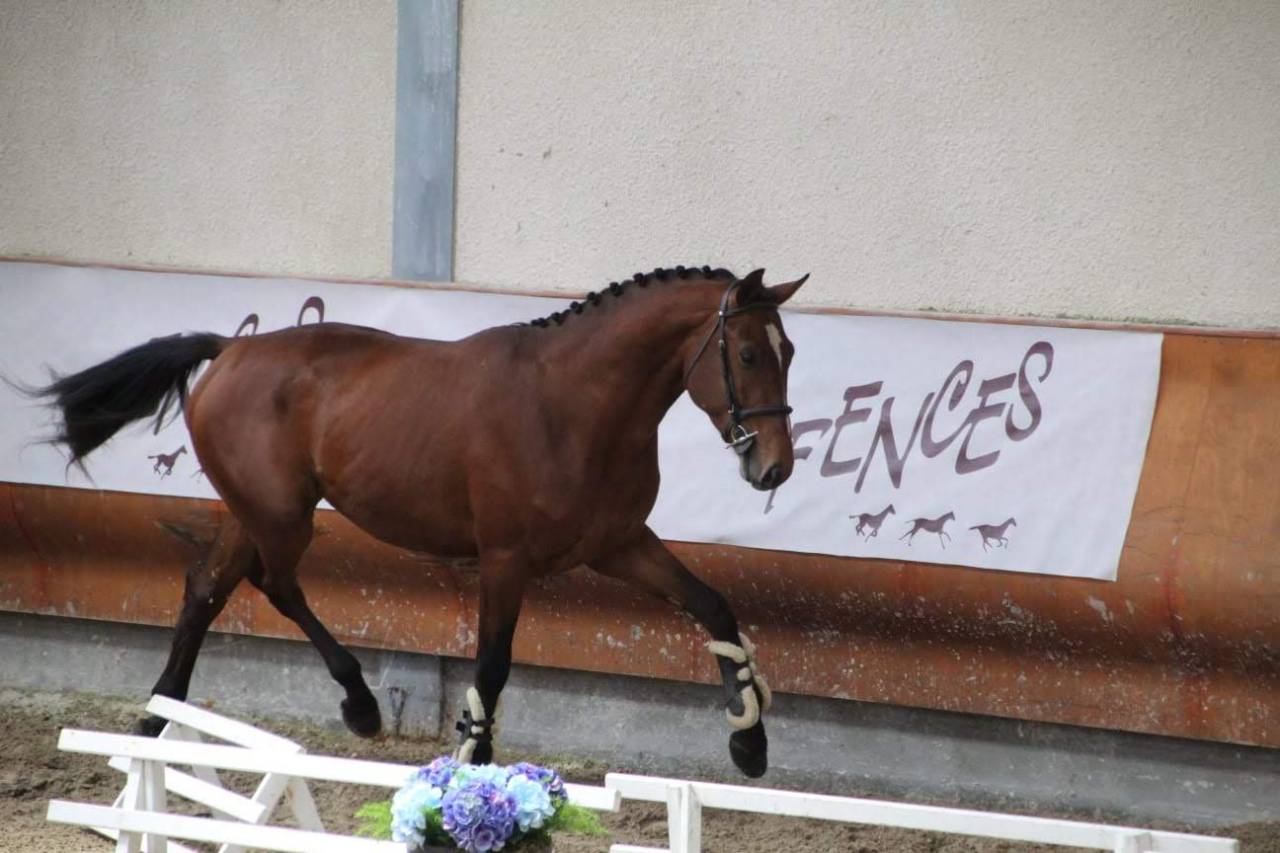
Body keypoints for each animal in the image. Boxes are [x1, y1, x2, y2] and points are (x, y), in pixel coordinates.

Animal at [30, 265, 806, 778]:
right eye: (746, 353)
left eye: (789, 351)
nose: (774, 467)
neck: (573, 406)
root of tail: (231, 348)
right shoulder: (506, 559)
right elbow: (492, 664)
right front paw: (474, 757)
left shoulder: (618, 545)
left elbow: (714, 606)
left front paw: (749, 743)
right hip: (282, 516)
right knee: (272, 585)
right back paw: (359, 703)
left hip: (254, 511)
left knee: (206, 586)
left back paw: (155, 722)